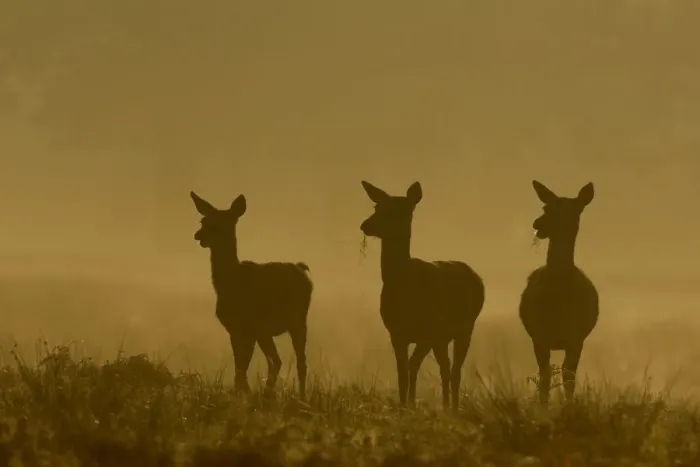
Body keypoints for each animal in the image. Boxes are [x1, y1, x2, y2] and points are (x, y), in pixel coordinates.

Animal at [190, 191, 313, 399]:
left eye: (222, 224)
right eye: (203, 220)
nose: (198, 235)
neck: (230, 282)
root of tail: (302, 270)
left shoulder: (247, 327)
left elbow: (241, 369)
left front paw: (242, 395)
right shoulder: (236, 329)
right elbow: (240, 368)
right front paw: (242, 394)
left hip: (294, 320)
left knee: (296, 361)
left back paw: (300, 398)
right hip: (270, 329)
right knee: (279, 361)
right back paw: (271, 393)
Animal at [359, 181, 485, 410]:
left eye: (397, 210)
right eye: (376, 207)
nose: (366, 225)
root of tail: (477, 278)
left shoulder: (428, 332)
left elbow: (412, 365)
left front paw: (410, 404)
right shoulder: (396, 332)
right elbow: (402, 370)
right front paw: (404, 405)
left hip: (466, 327)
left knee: (455, 369)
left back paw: (453, 408)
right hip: (442, 338)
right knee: (445, 367)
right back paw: (445, 405)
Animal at [519, 180, 599, 405]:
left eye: (574, 210)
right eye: (546, 207)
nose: (537, 224)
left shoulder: (576, 337)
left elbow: (568, 376)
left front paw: (569, 407)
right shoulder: (539, 335)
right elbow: (545, 376)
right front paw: (542, 409)